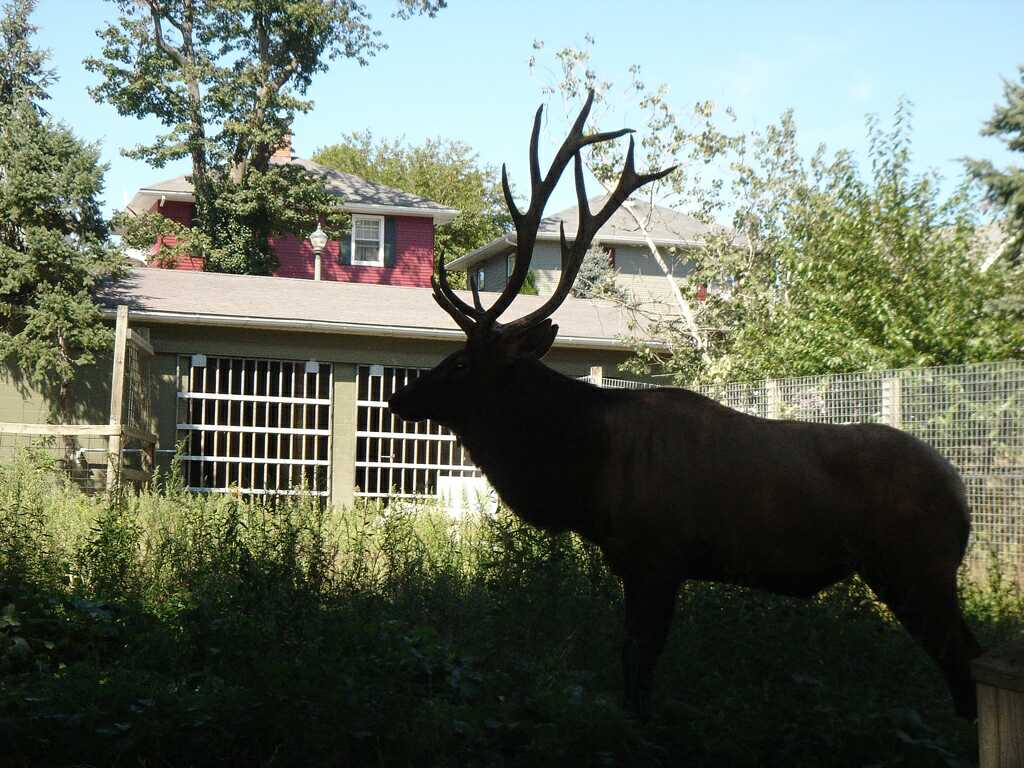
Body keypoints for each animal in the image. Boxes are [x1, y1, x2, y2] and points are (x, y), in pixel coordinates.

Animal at [387, 92, 982, 722]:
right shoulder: (635, 562)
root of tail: (961, 492)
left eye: (460, 364)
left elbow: (638, 663)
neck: (585, 478)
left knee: (963, 658)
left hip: (916, 569)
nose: (400, 396)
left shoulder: (658, 555)